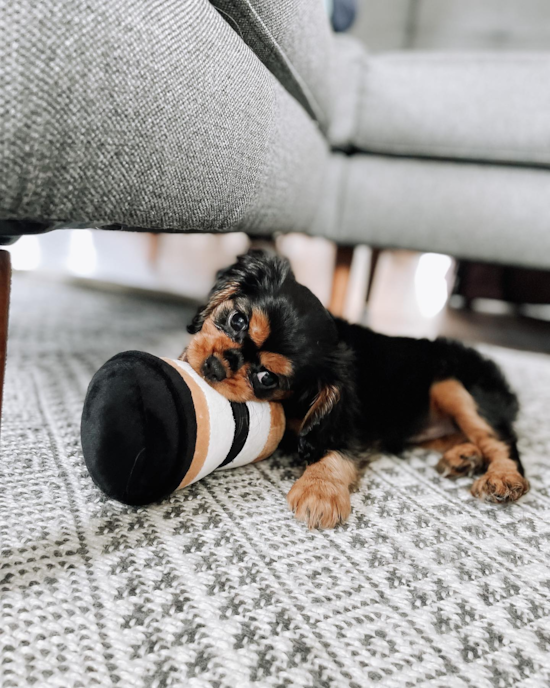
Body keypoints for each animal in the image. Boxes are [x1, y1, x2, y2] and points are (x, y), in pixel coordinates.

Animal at [183, 250, 532, 528]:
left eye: (267, 378)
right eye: (237, 320)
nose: (214, 367)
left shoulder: (348, 424)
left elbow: (336, 452)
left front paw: (320, 493)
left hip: (452, 386)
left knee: (502, 441)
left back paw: (503, 477)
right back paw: (464, 457)